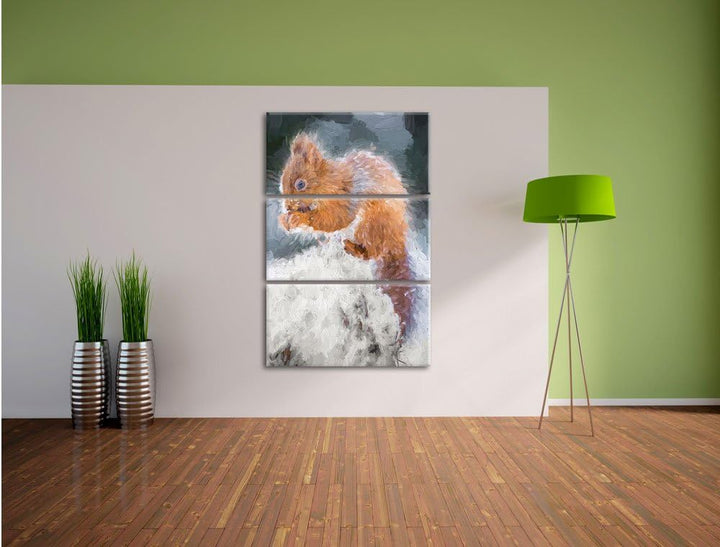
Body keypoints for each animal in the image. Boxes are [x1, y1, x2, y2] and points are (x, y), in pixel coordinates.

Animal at [277, 133, 413, 335]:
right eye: (281, 181)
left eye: (300, 184)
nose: (286, 206)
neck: (329, 182)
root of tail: (397, 239)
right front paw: (284, 220)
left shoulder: (347, 199)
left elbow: (334, 220)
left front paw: (298, 218)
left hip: (370, 225)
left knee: (372, 252)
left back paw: (352, 248)